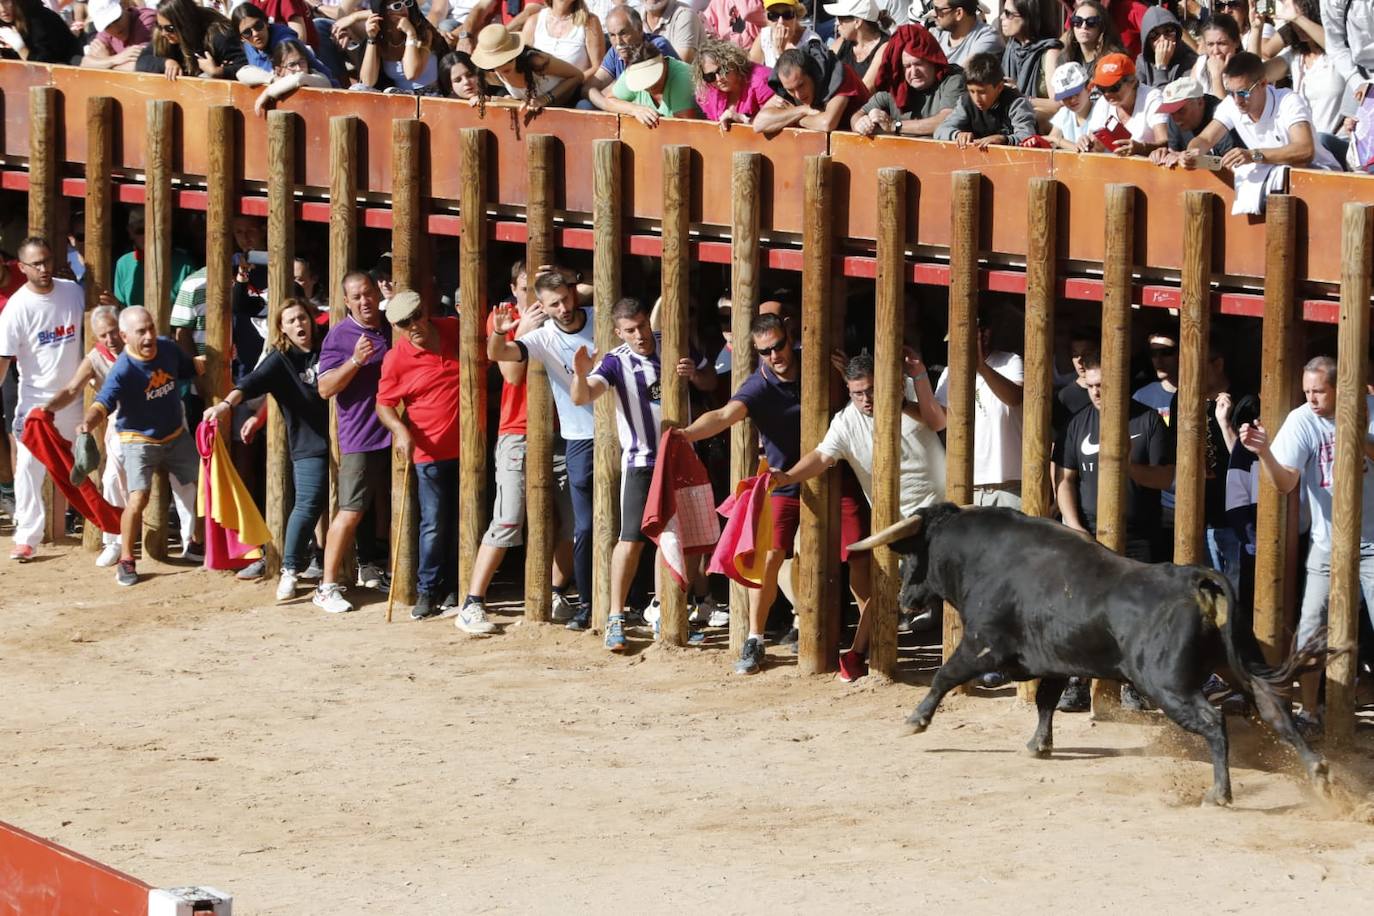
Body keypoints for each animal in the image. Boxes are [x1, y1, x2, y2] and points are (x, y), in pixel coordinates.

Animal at [851, 502, 1335, 807]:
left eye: (912, 555)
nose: (906, 601)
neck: (981, 556)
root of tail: (1194, 578)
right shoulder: (1054, 661)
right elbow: (1045, 701)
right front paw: (1039, 745)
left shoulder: (982, 644)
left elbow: (945, 676)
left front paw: (915, 721)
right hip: (1237, 666)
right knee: (1274, 710)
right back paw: (1319, 775)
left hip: (1168, 684)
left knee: (1214, 722)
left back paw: (1219, 794)